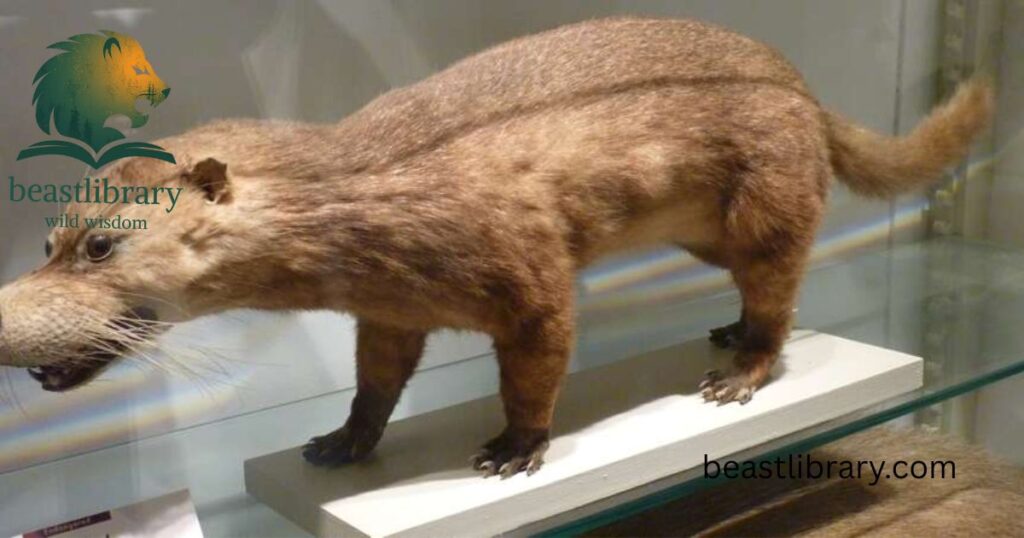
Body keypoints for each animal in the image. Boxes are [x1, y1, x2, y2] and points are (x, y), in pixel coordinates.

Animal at [0, 18, 992, 478]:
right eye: (48, 237)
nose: (5, 322)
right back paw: (723, 334)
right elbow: (376, 381)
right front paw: (340, 442)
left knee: (781, 295)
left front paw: (514, 450)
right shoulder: (386, 310)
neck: (380, 189)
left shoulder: (529, 271)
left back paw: (739, 370)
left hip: (766, 202)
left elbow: (536, 365)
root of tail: (800, 89)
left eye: (100, 246)